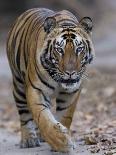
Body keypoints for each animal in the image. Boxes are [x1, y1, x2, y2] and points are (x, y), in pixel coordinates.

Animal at [6, 7, 94, 152]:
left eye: (79, 49)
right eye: (59, 50)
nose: (70, 73)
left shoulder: (71, 93)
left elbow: (65, 116)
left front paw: (62, 136)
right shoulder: (36, 89)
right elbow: (42, 118)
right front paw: (61, 142)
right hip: (18, 85)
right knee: (24, 114)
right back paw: (29, 139)